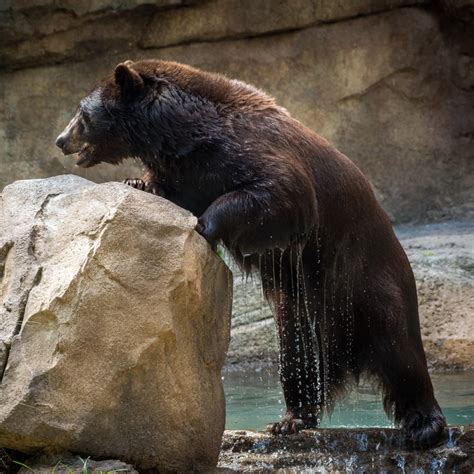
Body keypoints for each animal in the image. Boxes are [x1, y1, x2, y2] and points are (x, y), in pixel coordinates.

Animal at [57, 60, 446, 448]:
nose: (61, 139)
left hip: (367, 278)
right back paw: (291, 419)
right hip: (300, 306)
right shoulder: (187, 171)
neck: (186, 134)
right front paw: (137, 182)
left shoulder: (252, 153)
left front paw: (204, 225)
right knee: (298, 354)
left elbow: (277, 191)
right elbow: (170, 188)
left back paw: (426, 424)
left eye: (81, 112)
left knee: (400, 348)